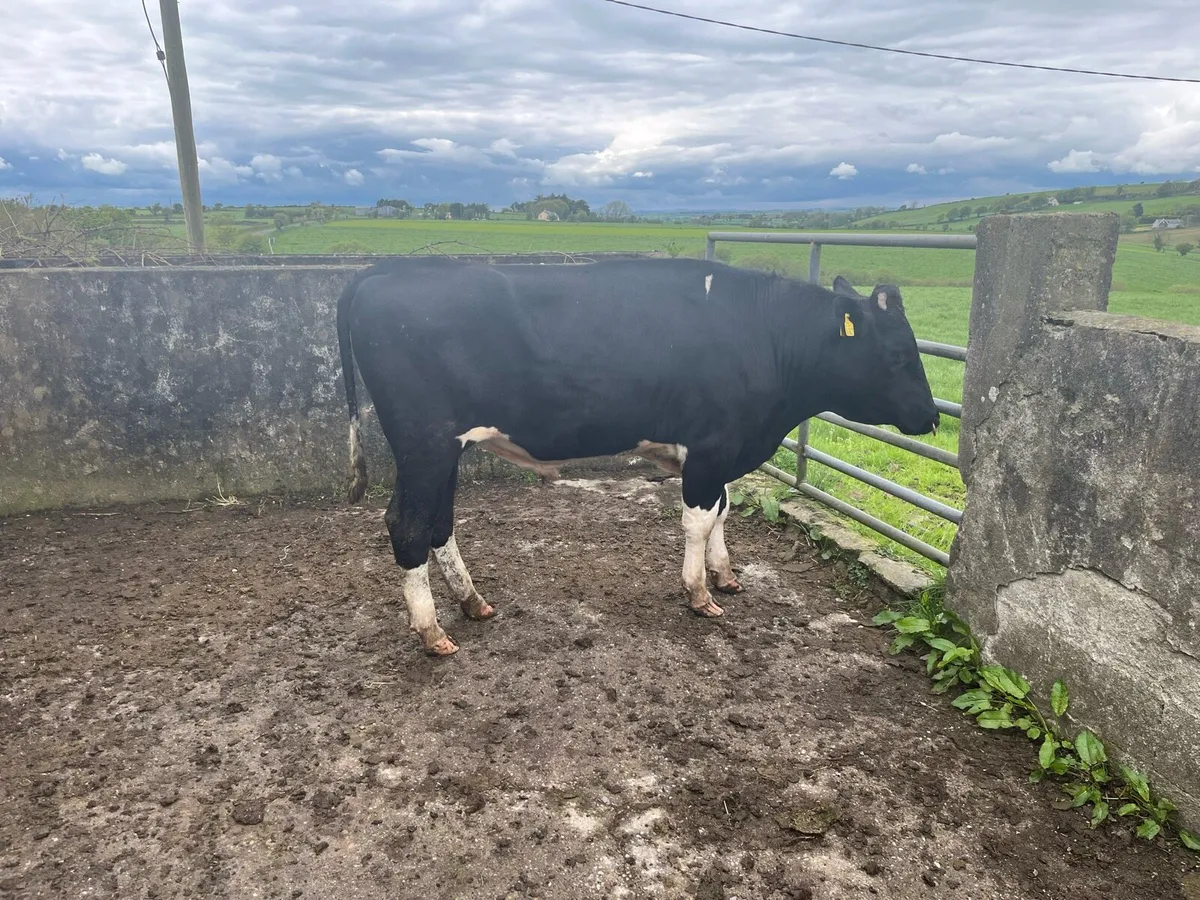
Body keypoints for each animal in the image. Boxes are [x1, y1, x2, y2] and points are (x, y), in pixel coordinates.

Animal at [335, 256, 939, 656]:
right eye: (897, 353)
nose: (933, 418)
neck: (761, 335)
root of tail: (384, 272)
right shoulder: (711, 447)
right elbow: (698, 520)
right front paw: (699, 593)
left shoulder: (719, 452)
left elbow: (722, 511)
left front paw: (725, 574)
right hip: (426, 445)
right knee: (408, 524)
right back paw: (431, 629)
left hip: (445, 451)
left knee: (439, 523)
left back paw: (472, 602)